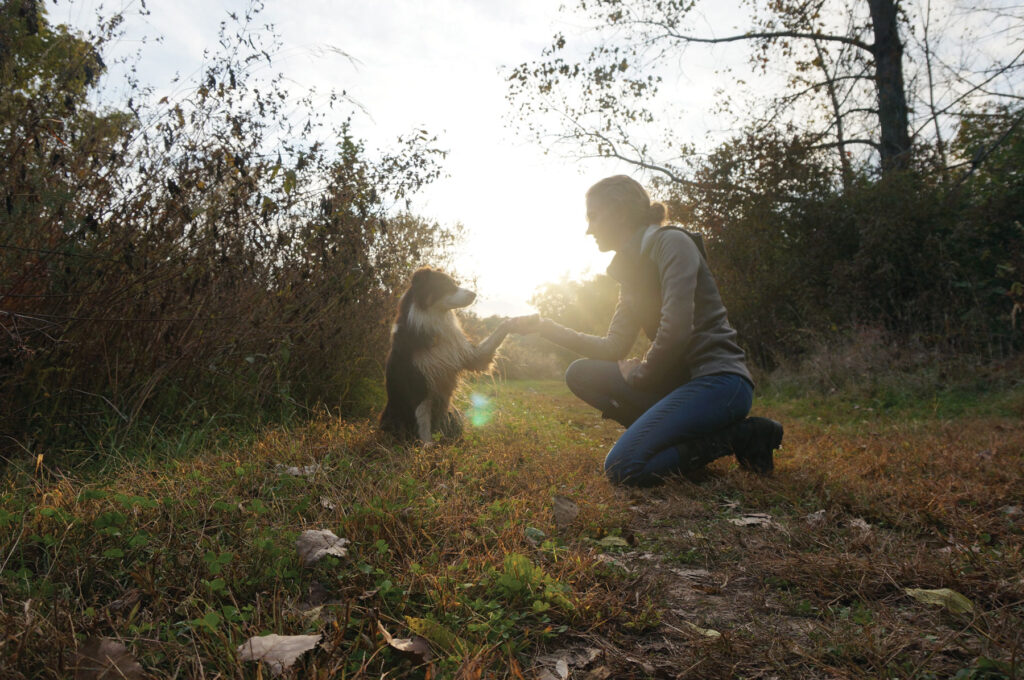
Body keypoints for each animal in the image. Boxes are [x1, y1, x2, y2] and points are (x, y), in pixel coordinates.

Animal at [380, 268, 516, 444]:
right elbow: (422, 422)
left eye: (455, 283)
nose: (474, 294)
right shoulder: (419, 385)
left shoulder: (469, 356)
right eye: (445, 285)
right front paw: (427, 447)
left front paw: (520, 322)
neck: (434, 323)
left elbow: (497, 333)